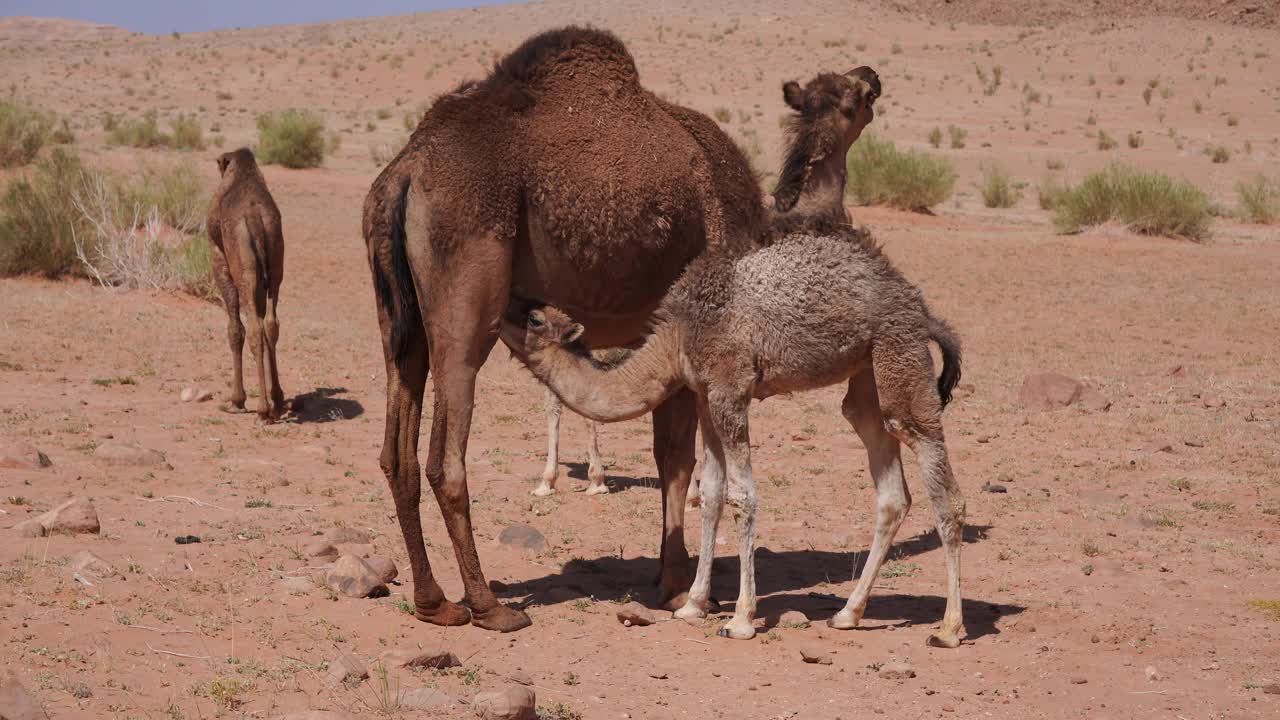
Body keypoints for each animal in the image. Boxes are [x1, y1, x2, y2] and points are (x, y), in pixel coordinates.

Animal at [207, 147, 285, 417]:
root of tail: (255, 218)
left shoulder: (219, 256)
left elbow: (234, 329)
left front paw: (237, 400)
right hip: (274, 263)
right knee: (270, 323)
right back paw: (277, 401)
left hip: (244, 266)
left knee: (252, 328)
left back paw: (262, 410)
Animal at [360, 25, 880, 627]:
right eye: (853, 98)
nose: (872, 73)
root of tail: (407, 171)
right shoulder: (695, 333)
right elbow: (679, 460)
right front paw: (679, 587)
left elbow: (671, 457)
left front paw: (673, 579)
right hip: (466, 301)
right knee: (446, 458)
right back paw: (490, 605)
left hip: (398, 321)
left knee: (395, 451)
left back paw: (434, 601)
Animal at [494, 213, 962, 645]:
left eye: (534, 319)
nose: (501, 306)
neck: (677, 338)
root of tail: (919, 306)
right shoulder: (705, 395)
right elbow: (712, 494)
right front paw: (694, 604)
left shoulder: (729, 387)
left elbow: (743, 496)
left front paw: (740, 619)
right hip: (867, 372)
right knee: (889, 487)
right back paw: (848, 613)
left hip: (898, 348)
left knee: (940, 480)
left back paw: (950, 628)